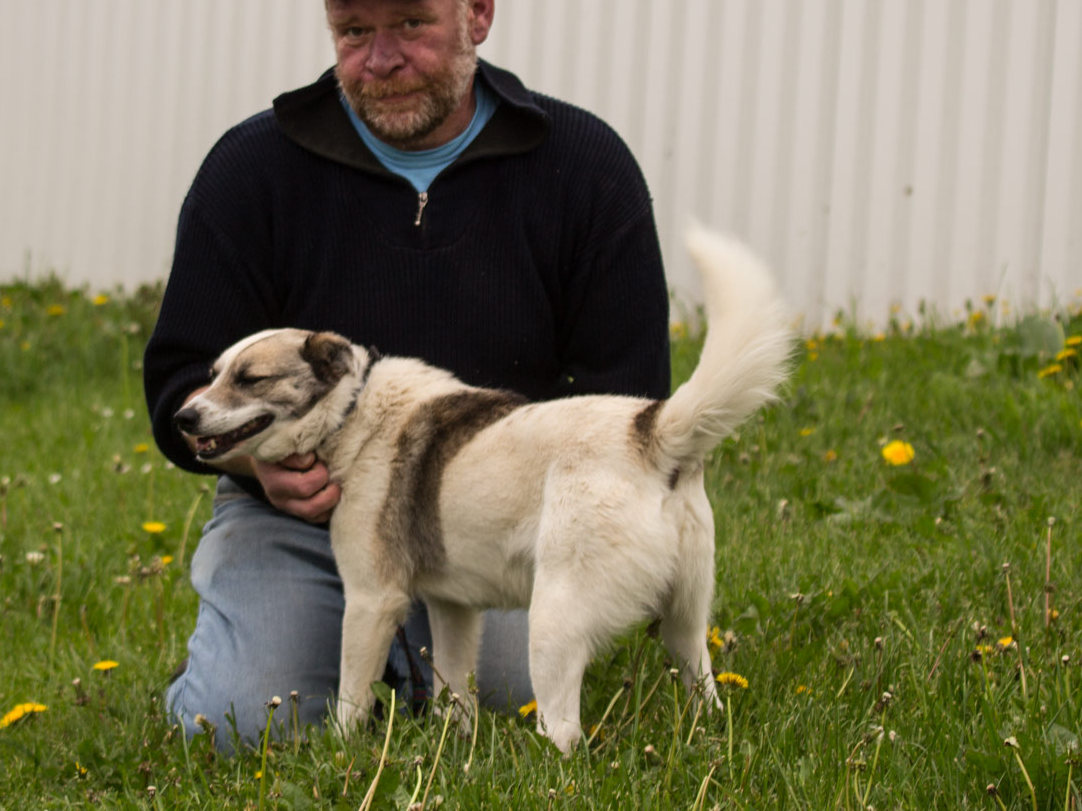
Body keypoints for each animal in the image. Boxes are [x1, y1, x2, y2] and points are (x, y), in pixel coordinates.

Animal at [173, 229, 792, 756]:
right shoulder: (453, 607)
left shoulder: (373, 599)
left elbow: (352, 695)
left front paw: (341, 753)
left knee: (564, 734)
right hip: (687, 619)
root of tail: (651, 429)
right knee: (705, 691)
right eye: (213, 373)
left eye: (250, 379)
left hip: (553, 623)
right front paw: (456, 743)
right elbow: (454, 687)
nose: (181, 417)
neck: (353, 413)